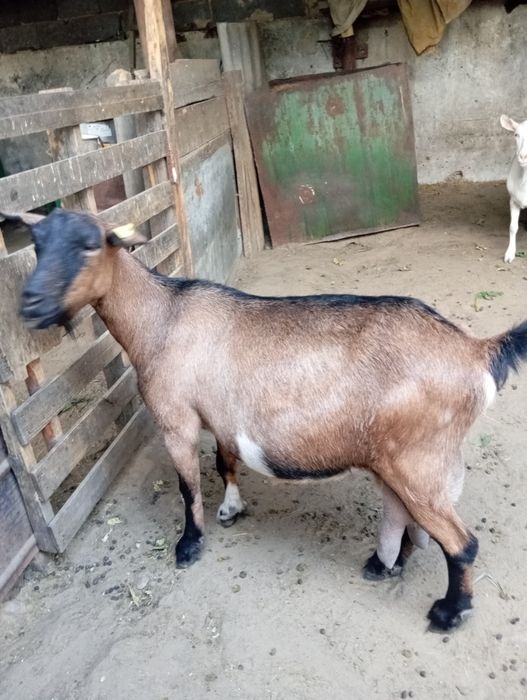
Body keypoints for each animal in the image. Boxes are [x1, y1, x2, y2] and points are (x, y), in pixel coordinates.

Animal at [5, 207, 527, 631]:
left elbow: (187, 486)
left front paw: (189, 545)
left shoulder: (175, 418)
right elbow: (225, 463)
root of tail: (477, 351)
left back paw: (447, 613)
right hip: (398, 457)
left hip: (417, 459)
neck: (163, 318)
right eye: (37, 244)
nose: (29, 304)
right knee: (406, 514)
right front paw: (232, 509)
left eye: (89, 244)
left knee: (461, 543)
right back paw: (385, 564)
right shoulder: (221, 417)